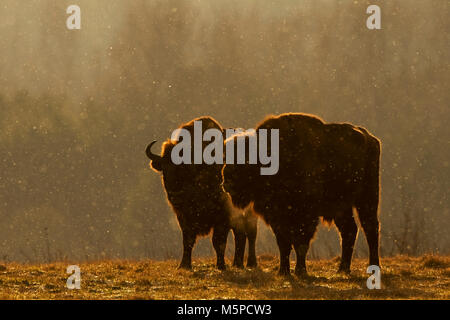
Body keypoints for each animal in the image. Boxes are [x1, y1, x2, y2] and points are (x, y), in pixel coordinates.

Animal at [144, 116, 256, 272]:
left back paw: (251, 263)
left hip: (250, 214)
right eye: (165, 169)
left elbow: (218, 242)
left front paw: (221, 266)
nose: (174, 194)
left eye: (184, 169)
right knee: (240, 236)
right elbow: (188, 240)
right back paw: (237, 263)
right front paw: (184, 265)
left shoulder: (222, 218)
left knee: (250, 235)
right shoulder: (184, 218)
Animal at [221, 112, 380, 276]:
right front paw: (283, 271)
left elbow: (301, 242)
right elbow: (284, 244)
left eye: (245, 159)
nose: (226, 182)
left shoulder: (305, 215)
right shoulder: (277, 217)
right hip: (342, 207)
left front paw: (300, 270)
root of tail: (370, 138)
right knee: (349, 230)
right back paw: (342, 269)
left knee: (370, 227)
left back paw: (373, 266)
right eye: (226, 157)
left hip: (368, 198)